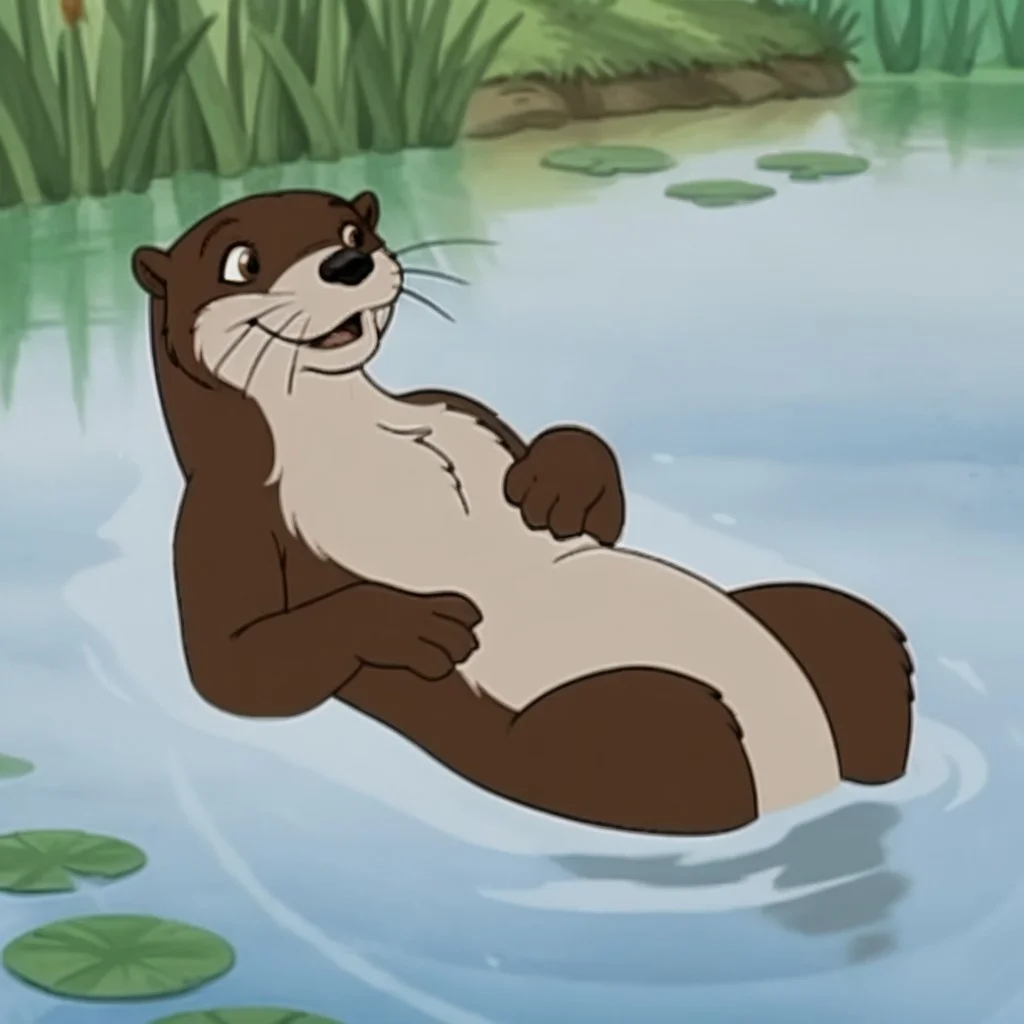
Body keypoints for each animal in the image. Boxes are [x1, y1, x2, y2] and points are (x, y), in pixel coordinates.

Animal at [131, 189, 914, 836]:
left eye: (352, 228)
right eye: (241, 260)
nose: (348, 262)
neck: (349, 432)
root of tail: (807, 779)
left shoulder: (455, 405)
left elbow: (584, 493)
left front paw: (557, 481)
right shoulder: (222, 514)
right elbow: (235, 663)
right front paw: (410, 621)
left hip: (811, 623)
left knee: (842, 626)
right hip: (590, 726)